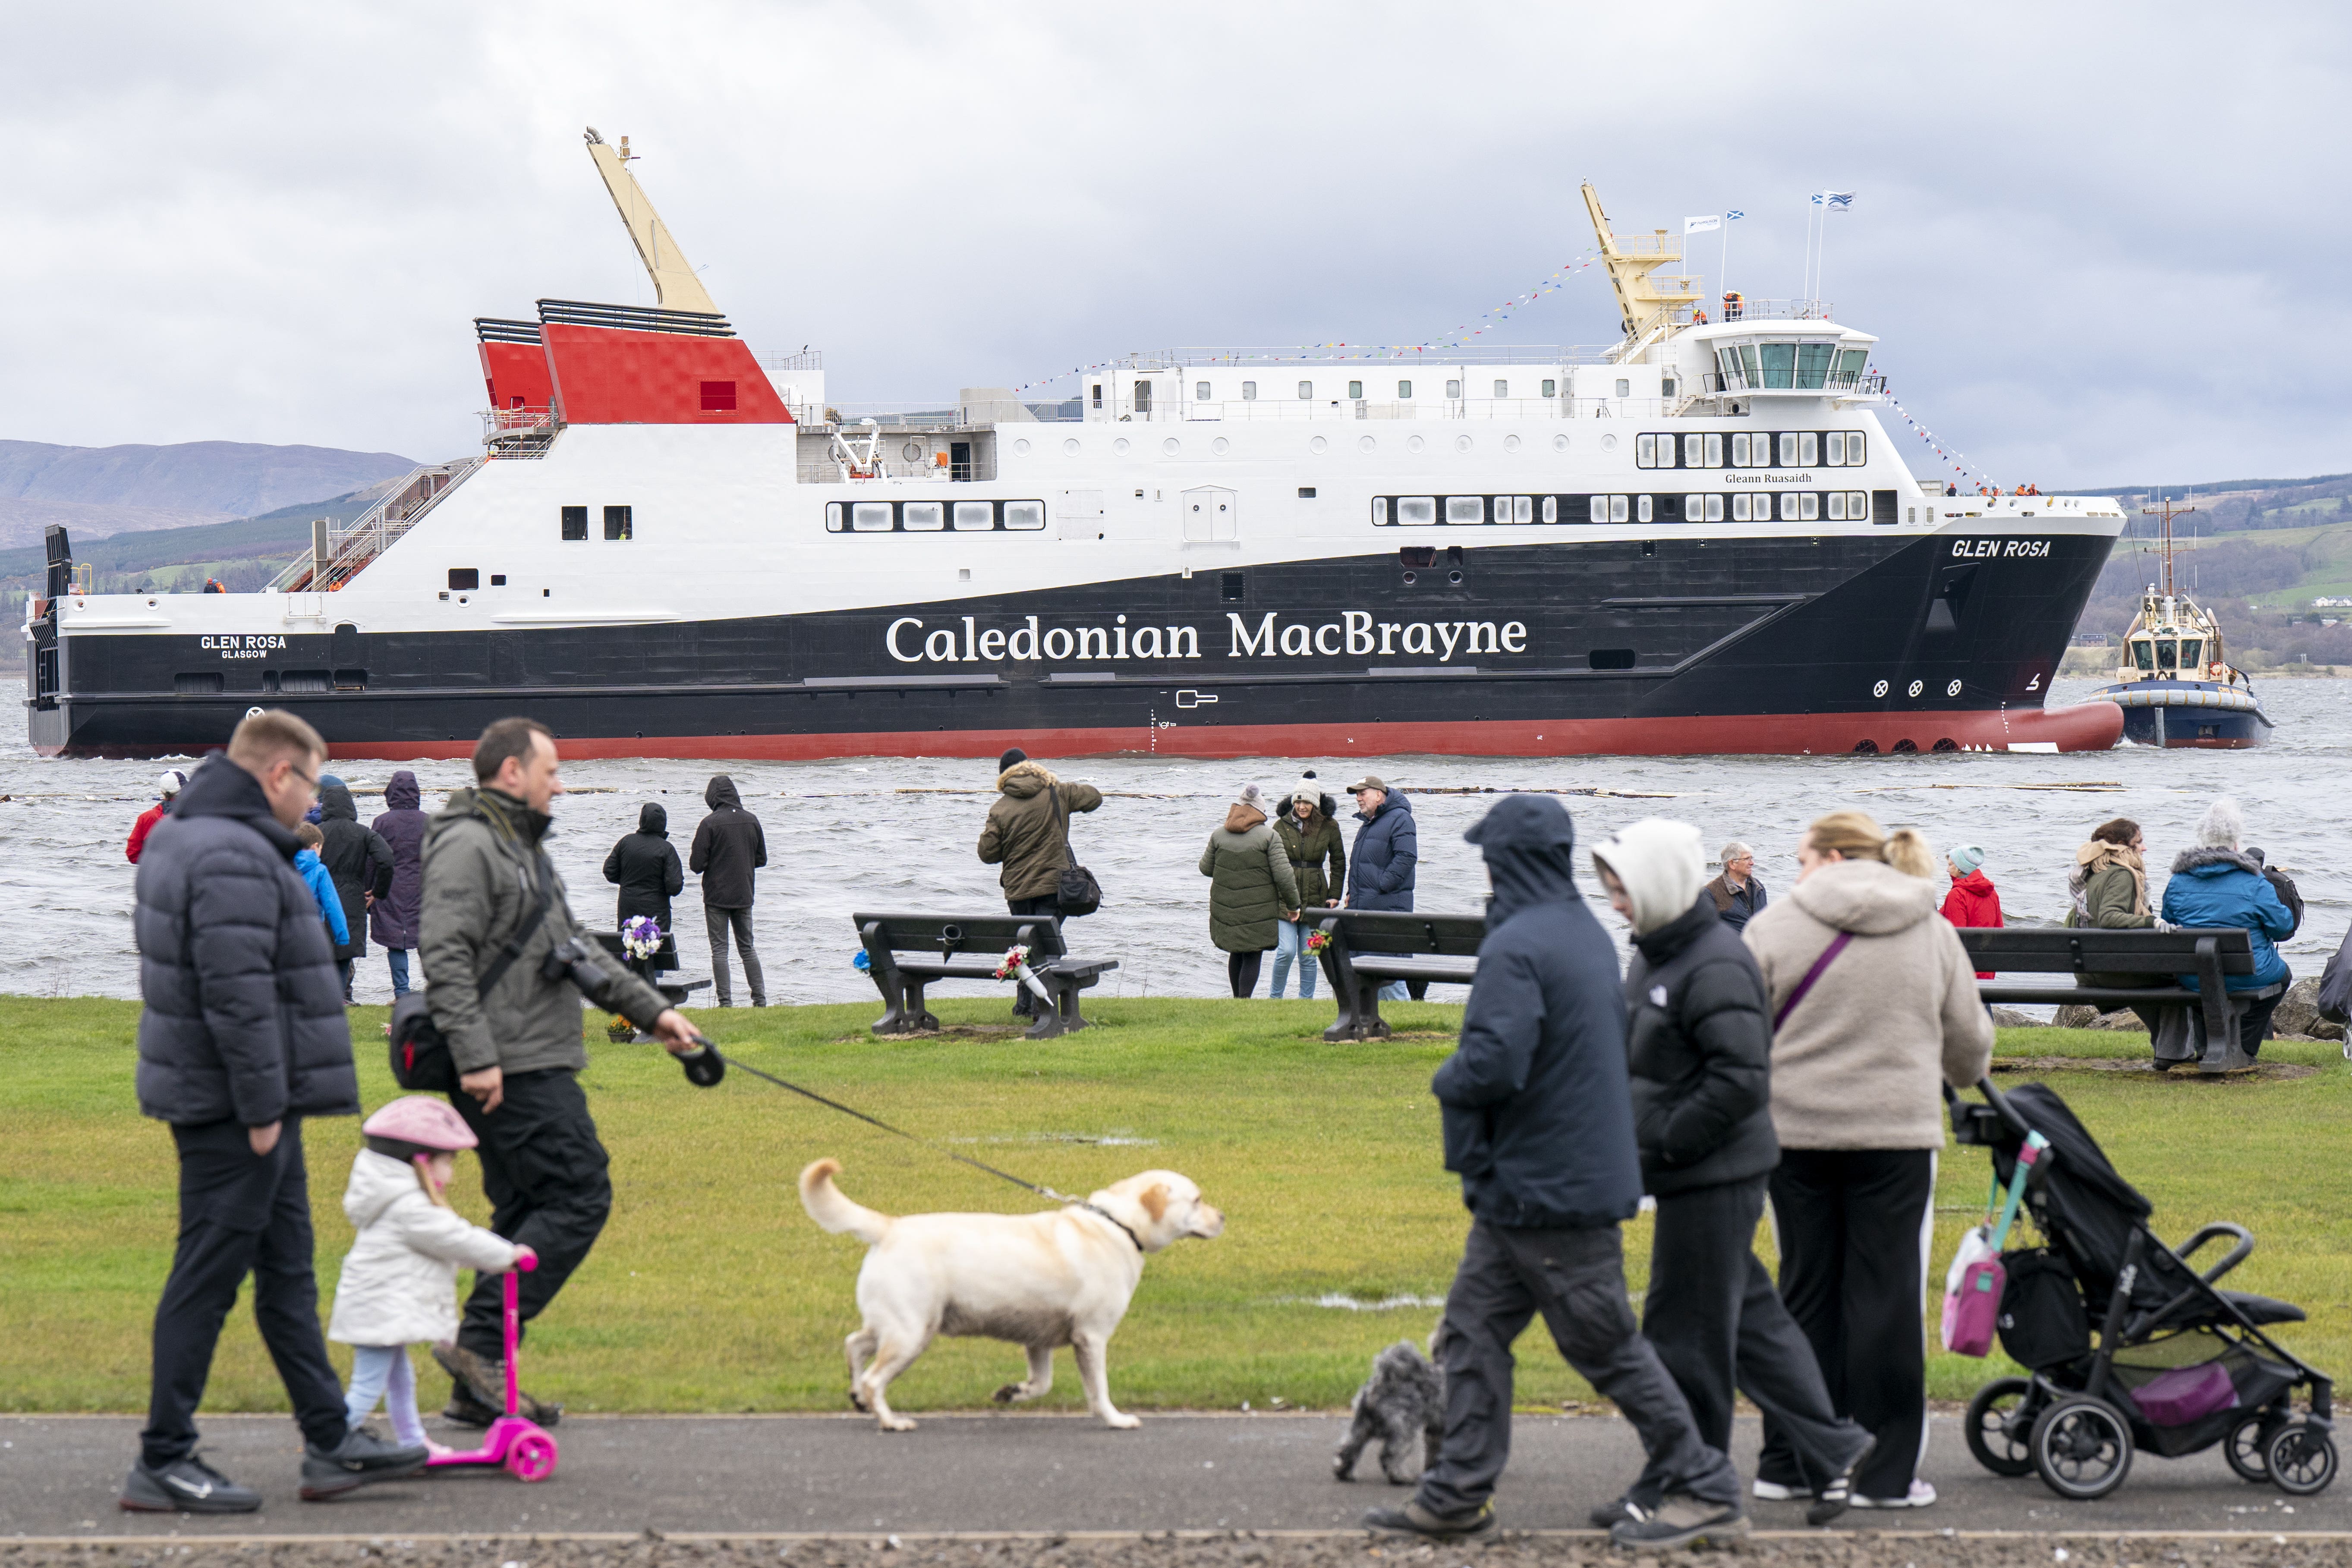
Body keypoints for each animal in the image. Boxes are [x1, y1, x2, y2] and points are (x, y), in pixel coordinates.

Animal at [800, 1161, 1223, 1429]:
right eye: (1197, 1200)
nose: (1223, 1218)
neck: (1119, 1224)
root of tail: (890, 1227)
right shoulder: (1091, 1337)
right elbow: (1098, 1390)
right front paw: (1116, 1419)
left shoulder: (1038, 1341)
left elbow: (1042, 1384)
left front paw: (1012, 1393)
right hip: (910, 1333)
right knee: (874, 1377)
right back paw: (891, 1422)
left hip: (899, 1324)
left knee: (854, 1344)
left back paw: (857, 1397)